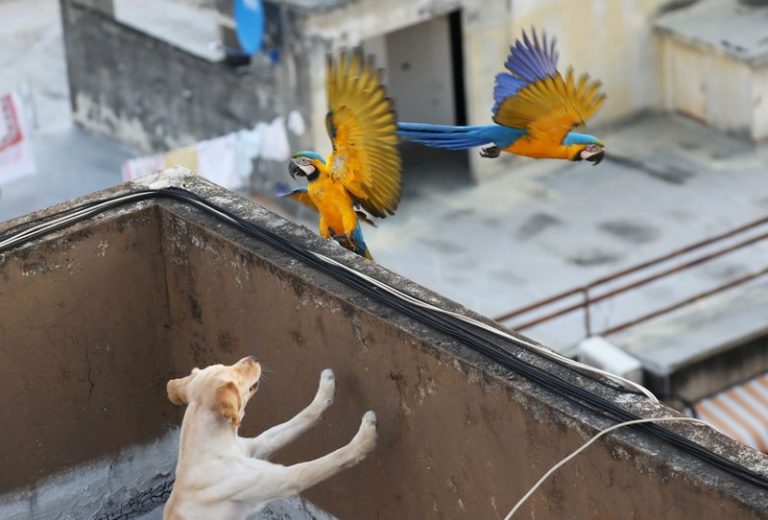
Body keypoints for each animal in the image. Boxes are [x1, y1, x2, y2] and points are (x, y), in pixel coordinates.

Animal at [164, 356, 376, 516]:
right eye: (236, 373)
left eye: (226, 365)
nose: (253, 357)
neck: (217, 442)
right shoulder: (281, 479)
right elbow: (328, 460)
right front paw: (365, 438)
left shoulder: (258, 446)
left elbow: (302, 417)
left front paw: (325, 389)